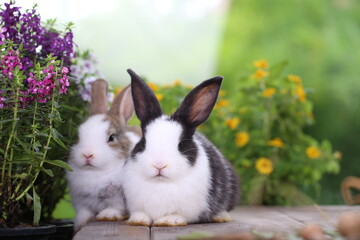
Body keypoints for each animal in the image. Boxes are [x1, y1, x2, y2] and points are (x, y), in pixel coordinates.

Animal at [66, 79, 141, 231]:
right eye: (78, 136)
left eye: (111, 138)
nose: (87, 154)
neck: (94, 173)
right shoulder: (81, 201)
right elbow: (84, 212)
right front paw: (81, 222)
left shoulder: (118, 199)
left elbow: (115, 208)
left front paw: (108, 216)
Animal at [123, 68, 239, 226]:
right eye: (143, 142)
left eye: (181, 144)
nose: (159, 165)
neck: (161, 184)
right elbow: (140, 213)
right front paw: (138, 220)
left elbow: (178, 214)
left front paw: (169, 220)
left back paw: (221, 216)